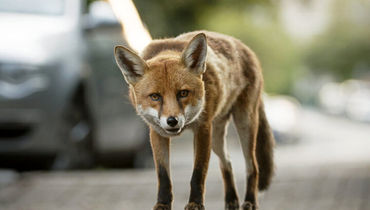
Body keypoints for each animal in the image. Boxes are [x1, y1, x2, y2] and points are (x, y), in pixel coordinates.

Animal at [114, 30, 274, 210]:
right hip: (217, 138)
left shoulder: (203, 129)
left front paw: (195, 203)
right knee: (226, 163)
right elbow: (163, 176)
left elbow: (198, 173)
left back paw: (250, 201)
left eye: (183, 93)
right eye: (155, 96)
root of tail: (242, 45)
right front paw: (162, 204)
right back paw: (231, 200)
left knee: (252, 166)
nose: (172, 121)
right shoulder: (157, 133)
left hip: (244, 124)